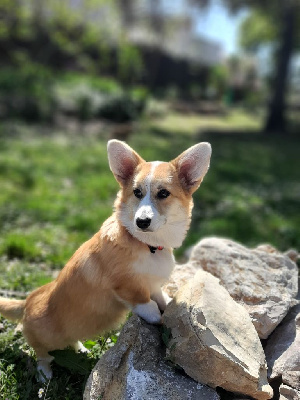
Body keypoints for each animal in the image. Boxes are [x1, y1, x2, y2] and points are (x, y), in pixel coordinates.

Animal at [0, 140, 212, 382]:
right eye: (137, 192)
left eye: (164, 193)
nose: (141, 221)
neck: (147, 244)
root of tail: (27, 301)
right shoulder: (127, 285)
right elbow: (144, 301)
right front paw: (155, 315)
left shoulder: (153, 282)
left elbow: (158, 294)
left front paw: (167, 302)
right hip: (44, 341)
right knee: (42, 355)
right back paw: (45, 376)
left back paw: (81, 349)